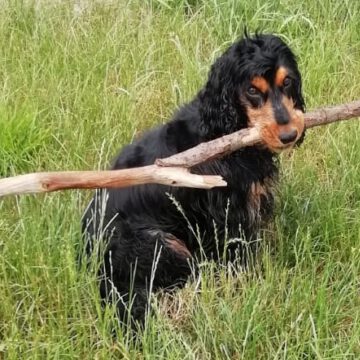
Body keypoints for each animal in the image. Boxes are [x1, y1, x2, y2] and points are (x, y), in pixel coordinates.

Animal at [83, 33, 306, 326]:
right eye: (252, 90)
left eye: (287, 81)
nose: (289, 135)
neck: (223, 131)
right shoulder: (227, 217)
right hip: (159, 244)